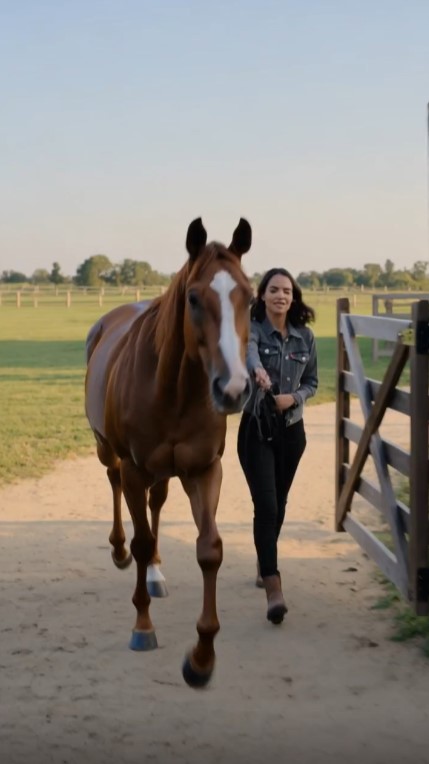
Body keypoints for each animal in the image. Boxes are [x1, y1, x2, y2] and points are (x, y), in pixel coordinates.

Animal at [85, 217, 253, 688]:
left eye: (250, 297)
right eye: (193, 298)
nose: (233, 389)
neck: (174, 391)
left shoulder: (205, 470)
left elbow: (209, 549)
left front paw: (201, 657)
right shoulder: (135, 469)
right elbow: (141, 540)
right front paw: (143, 627)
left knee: (157, 504)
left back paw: (157, 573)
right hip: (108, 451)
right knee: (115, 487)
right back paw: (119, 550)